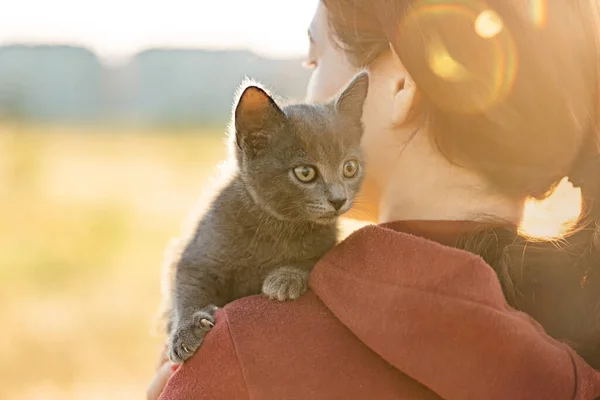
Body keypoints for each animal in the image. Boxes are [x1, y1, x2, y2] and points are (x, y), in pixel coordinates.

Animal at [166, 72, 368, 362]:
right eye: (305, 172)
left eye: (350, 168)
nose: (339, 199)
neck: (279, 225)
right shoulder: (197, 252)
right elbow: (187, 284)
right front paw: (186, 328)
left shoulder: (327, 241)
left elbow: (315, 259)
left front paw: (285, 277)